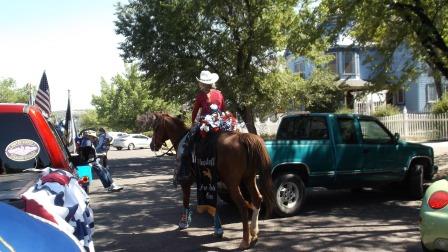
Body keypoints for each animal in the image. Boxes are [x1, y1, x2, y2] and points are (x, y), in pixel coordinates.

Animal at [138, 112, 274, 250]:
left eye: (156, 127)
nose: (152, 146)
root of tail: (243, 138)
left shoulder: (186, 181)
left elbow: (186, 201)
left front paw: (184, 222)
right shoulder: (208, 183)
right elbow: (212, 206)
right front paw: (218, 229)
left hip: (232, 183)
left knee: (242, 205)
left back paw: (245, 241)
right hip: (248, 178)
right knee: (257, 199)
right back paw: (254, 234)